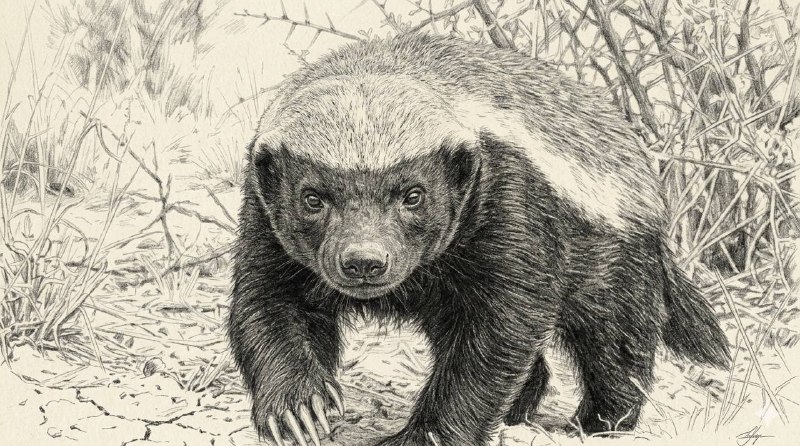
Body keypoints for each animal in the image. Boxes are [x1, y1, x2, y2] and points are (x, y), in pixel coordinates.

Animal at [227, 33, 730, 446]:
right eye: (312, 198)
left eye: (414, 196)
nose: (364, 261)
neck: (379, 74)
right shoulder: (263, 212)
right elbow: (268, 302)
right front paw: (298, 408)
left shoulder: (512, 201)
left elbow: (499, 329)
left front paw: (424, 436)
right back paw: (519, 411)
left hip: (617, 251)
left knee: (615, 338)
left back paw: (600, 422)